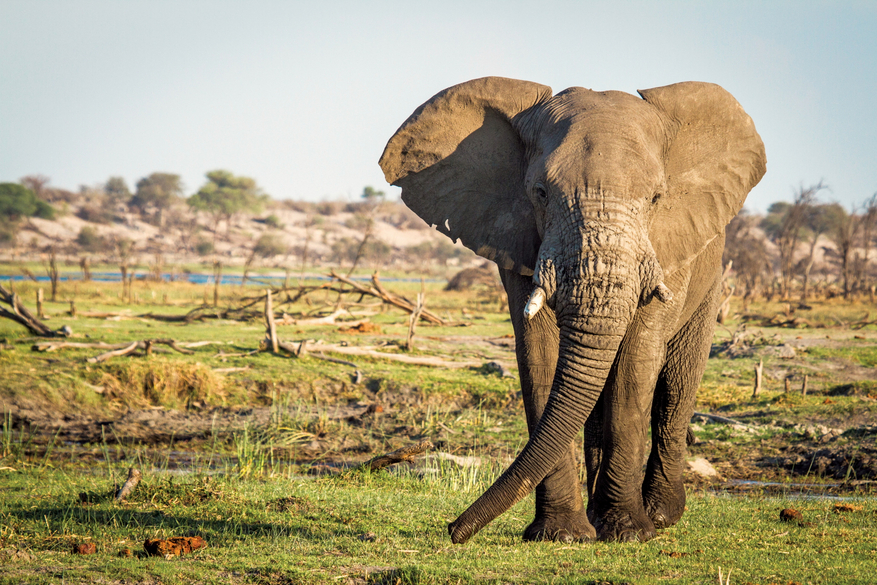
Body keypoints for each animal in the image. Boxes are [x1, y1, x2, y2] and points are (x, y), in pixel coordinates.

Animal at [380, 76, 764, 544]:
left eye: (657, 198)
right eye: (540, 193)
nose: (453, 529)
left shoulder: (669, 249)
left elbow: (636, 363)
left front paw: (630, 534)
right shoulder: (519, 240)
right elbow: (539, 355)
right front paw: (562, 535)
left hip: (710, 278)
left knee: (675, 390)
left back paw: (659, 516)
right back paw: (601, 518)